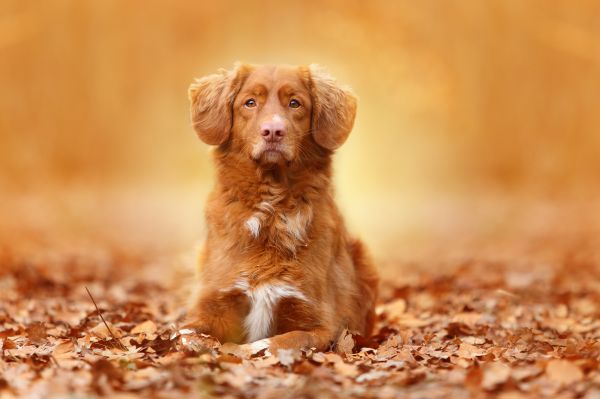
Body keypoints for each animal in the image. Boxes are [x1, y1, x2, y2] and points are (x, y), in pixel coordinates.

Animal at [185, 63, 378, 356]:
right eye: (250, 102)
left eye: (295, 103)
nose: (273, 131)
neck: (271, 209)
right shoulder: (215, 302)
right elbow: (188, 333)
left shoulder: (320, 325)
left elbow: (270, 343)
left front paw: (238, 351)